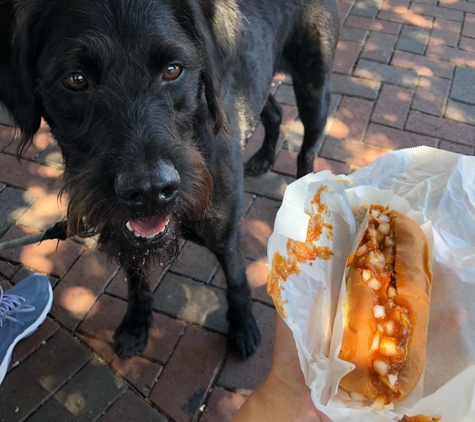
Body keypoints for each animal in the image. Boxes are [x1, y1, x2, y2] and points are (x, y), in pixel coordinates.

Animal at [1, 0, 340, 360]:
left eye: (173, 70)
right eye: (75, 79)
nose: (150, 190)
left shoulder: (226, 237)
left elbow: (236, 280)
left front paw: (243, 326)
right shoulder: (126, 236)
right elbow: (136, 280)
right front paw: (137, 323)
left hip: (314, 90)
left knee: (307, 149)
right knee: (274, 111)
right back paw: (263, 156)